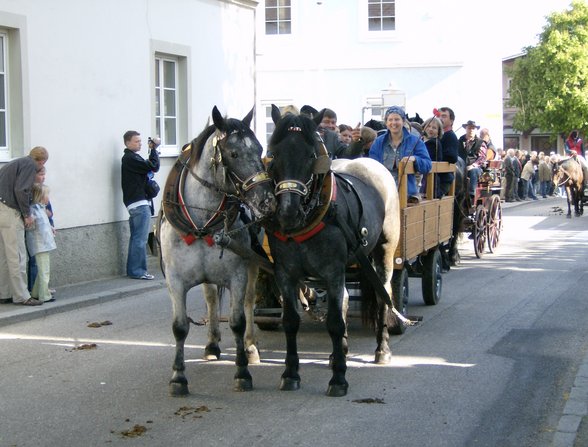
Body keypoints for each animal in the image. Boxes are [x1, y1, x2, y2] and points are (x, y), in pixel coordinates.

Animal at [160, 107, 276, 398]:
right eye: (233, 154)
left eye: (260, 149)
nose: (267, 201)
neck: (201, 222)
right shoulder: (175, 280)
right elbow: (180, 327)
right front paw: (178, 377)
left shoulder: (237, 274)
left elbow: (237, 320)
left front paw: (242, 371)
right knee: (212, 300)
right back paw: (212, 344)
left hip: (253, 263)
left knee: (249, 303)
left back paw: (250, 346)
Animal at [266, 106, 400, 400]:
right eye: (273, 154)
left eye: (311, 155)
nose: (288, 212)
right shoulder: (286, 273)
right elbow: (290, 321)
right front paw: (290, 374)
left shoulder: (332, 271)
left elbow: (336, 323)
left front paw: (339, 379)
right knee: (348, 298)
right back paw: (341, 352)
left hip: (383, 251)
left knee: (384, 295)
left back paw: (382, 349)